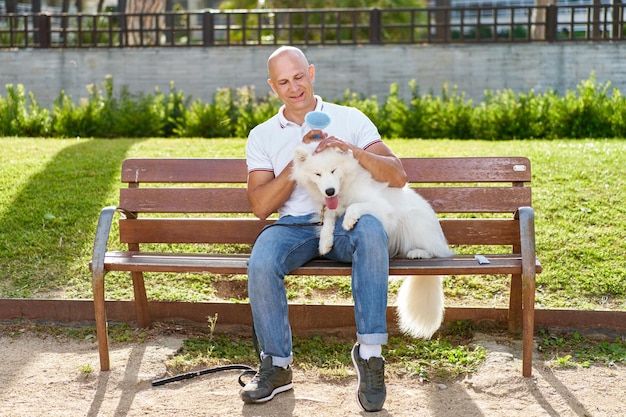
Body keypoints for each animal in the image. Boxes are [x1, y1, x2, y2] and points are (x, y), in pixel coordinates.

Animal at [290, 146, 450, 338]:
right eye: (317, 174)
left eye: (333, 170)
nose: (329, 191)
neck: (344, 188)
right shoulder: (331, 209)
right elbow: (328, 219)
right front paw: (325, 242)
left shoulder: (382, 208)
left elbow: (354, 207)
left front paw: (348, 221)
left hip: (415, 222)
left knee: (434, 251)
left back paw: (417, 253)